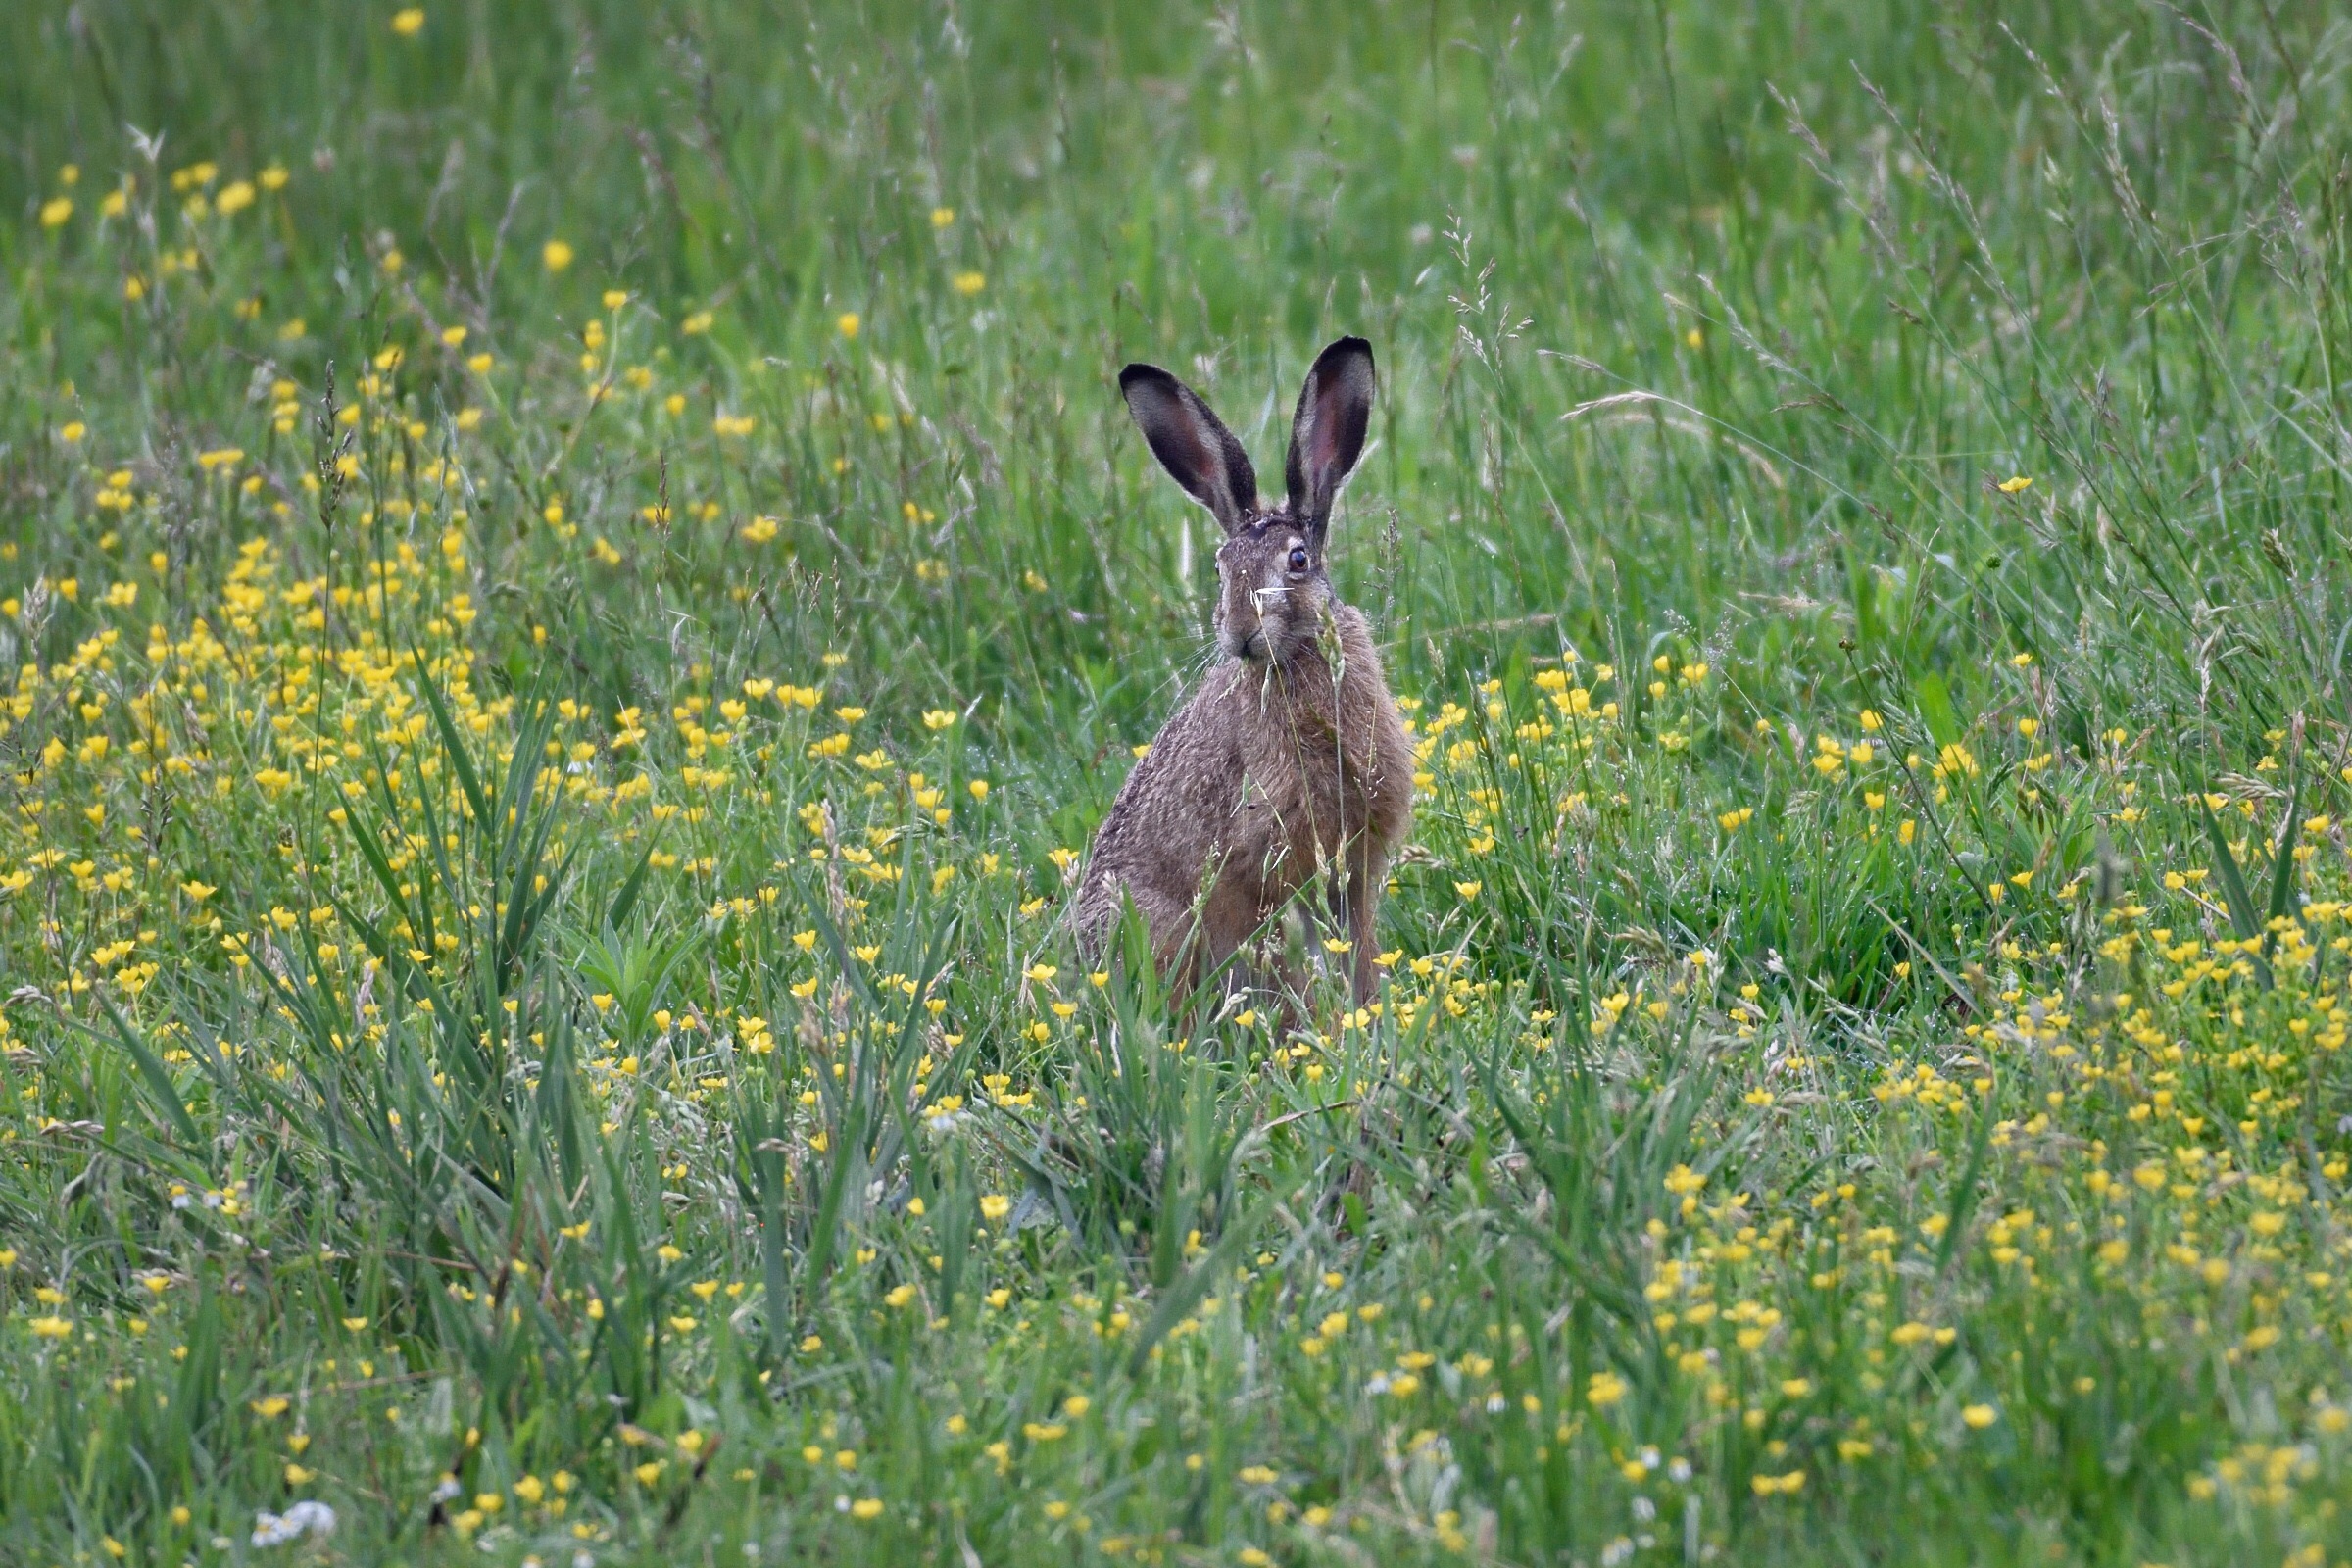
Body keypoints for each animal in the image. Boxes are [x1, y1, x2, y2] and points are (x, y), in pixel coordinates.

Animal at [1075, 336, 1413, 1004]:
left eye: (1298, 560)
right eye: (1219, 569)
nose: (1239, 633)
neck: (1298, 658)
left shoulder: (1354, 865)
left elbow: (1356, 944)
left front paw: (1368, 1008)